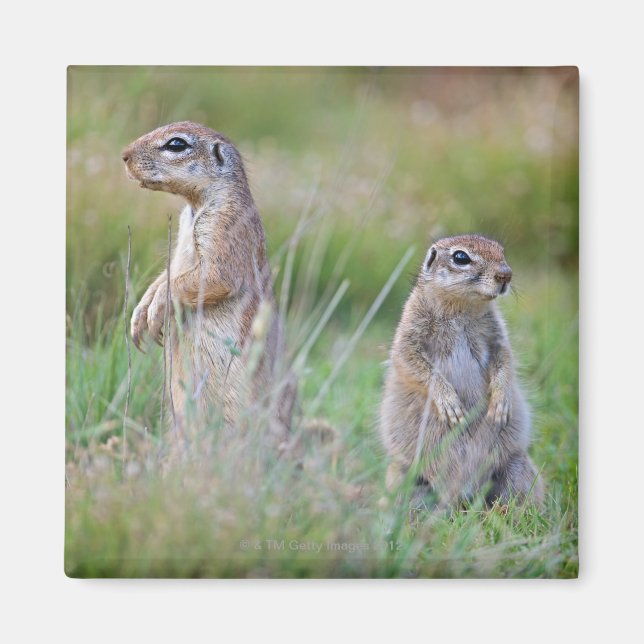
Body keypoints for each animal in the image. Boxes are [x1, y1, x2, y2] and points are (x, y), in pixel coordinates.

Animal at [122, 121, 295, 440]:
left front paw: (155, 310)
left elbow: (213, 277)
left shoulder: (225, 226)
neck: (195, 206)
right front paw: (140, 312)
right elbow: (166, 274)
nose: (124, 155)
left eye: (176, 144)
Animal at [379, 234, 544, 508]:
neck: (462, 307)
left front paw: (501, 401)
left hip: (518, 467)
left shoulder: (497, 336)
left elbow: (505, 360)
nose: (506, 275)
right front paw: (448, 402)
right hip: (402, 474)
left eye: (501, 251)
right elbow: (411, 362)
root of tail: (461, 492)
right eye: (460, 257)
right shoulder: (409, 333)